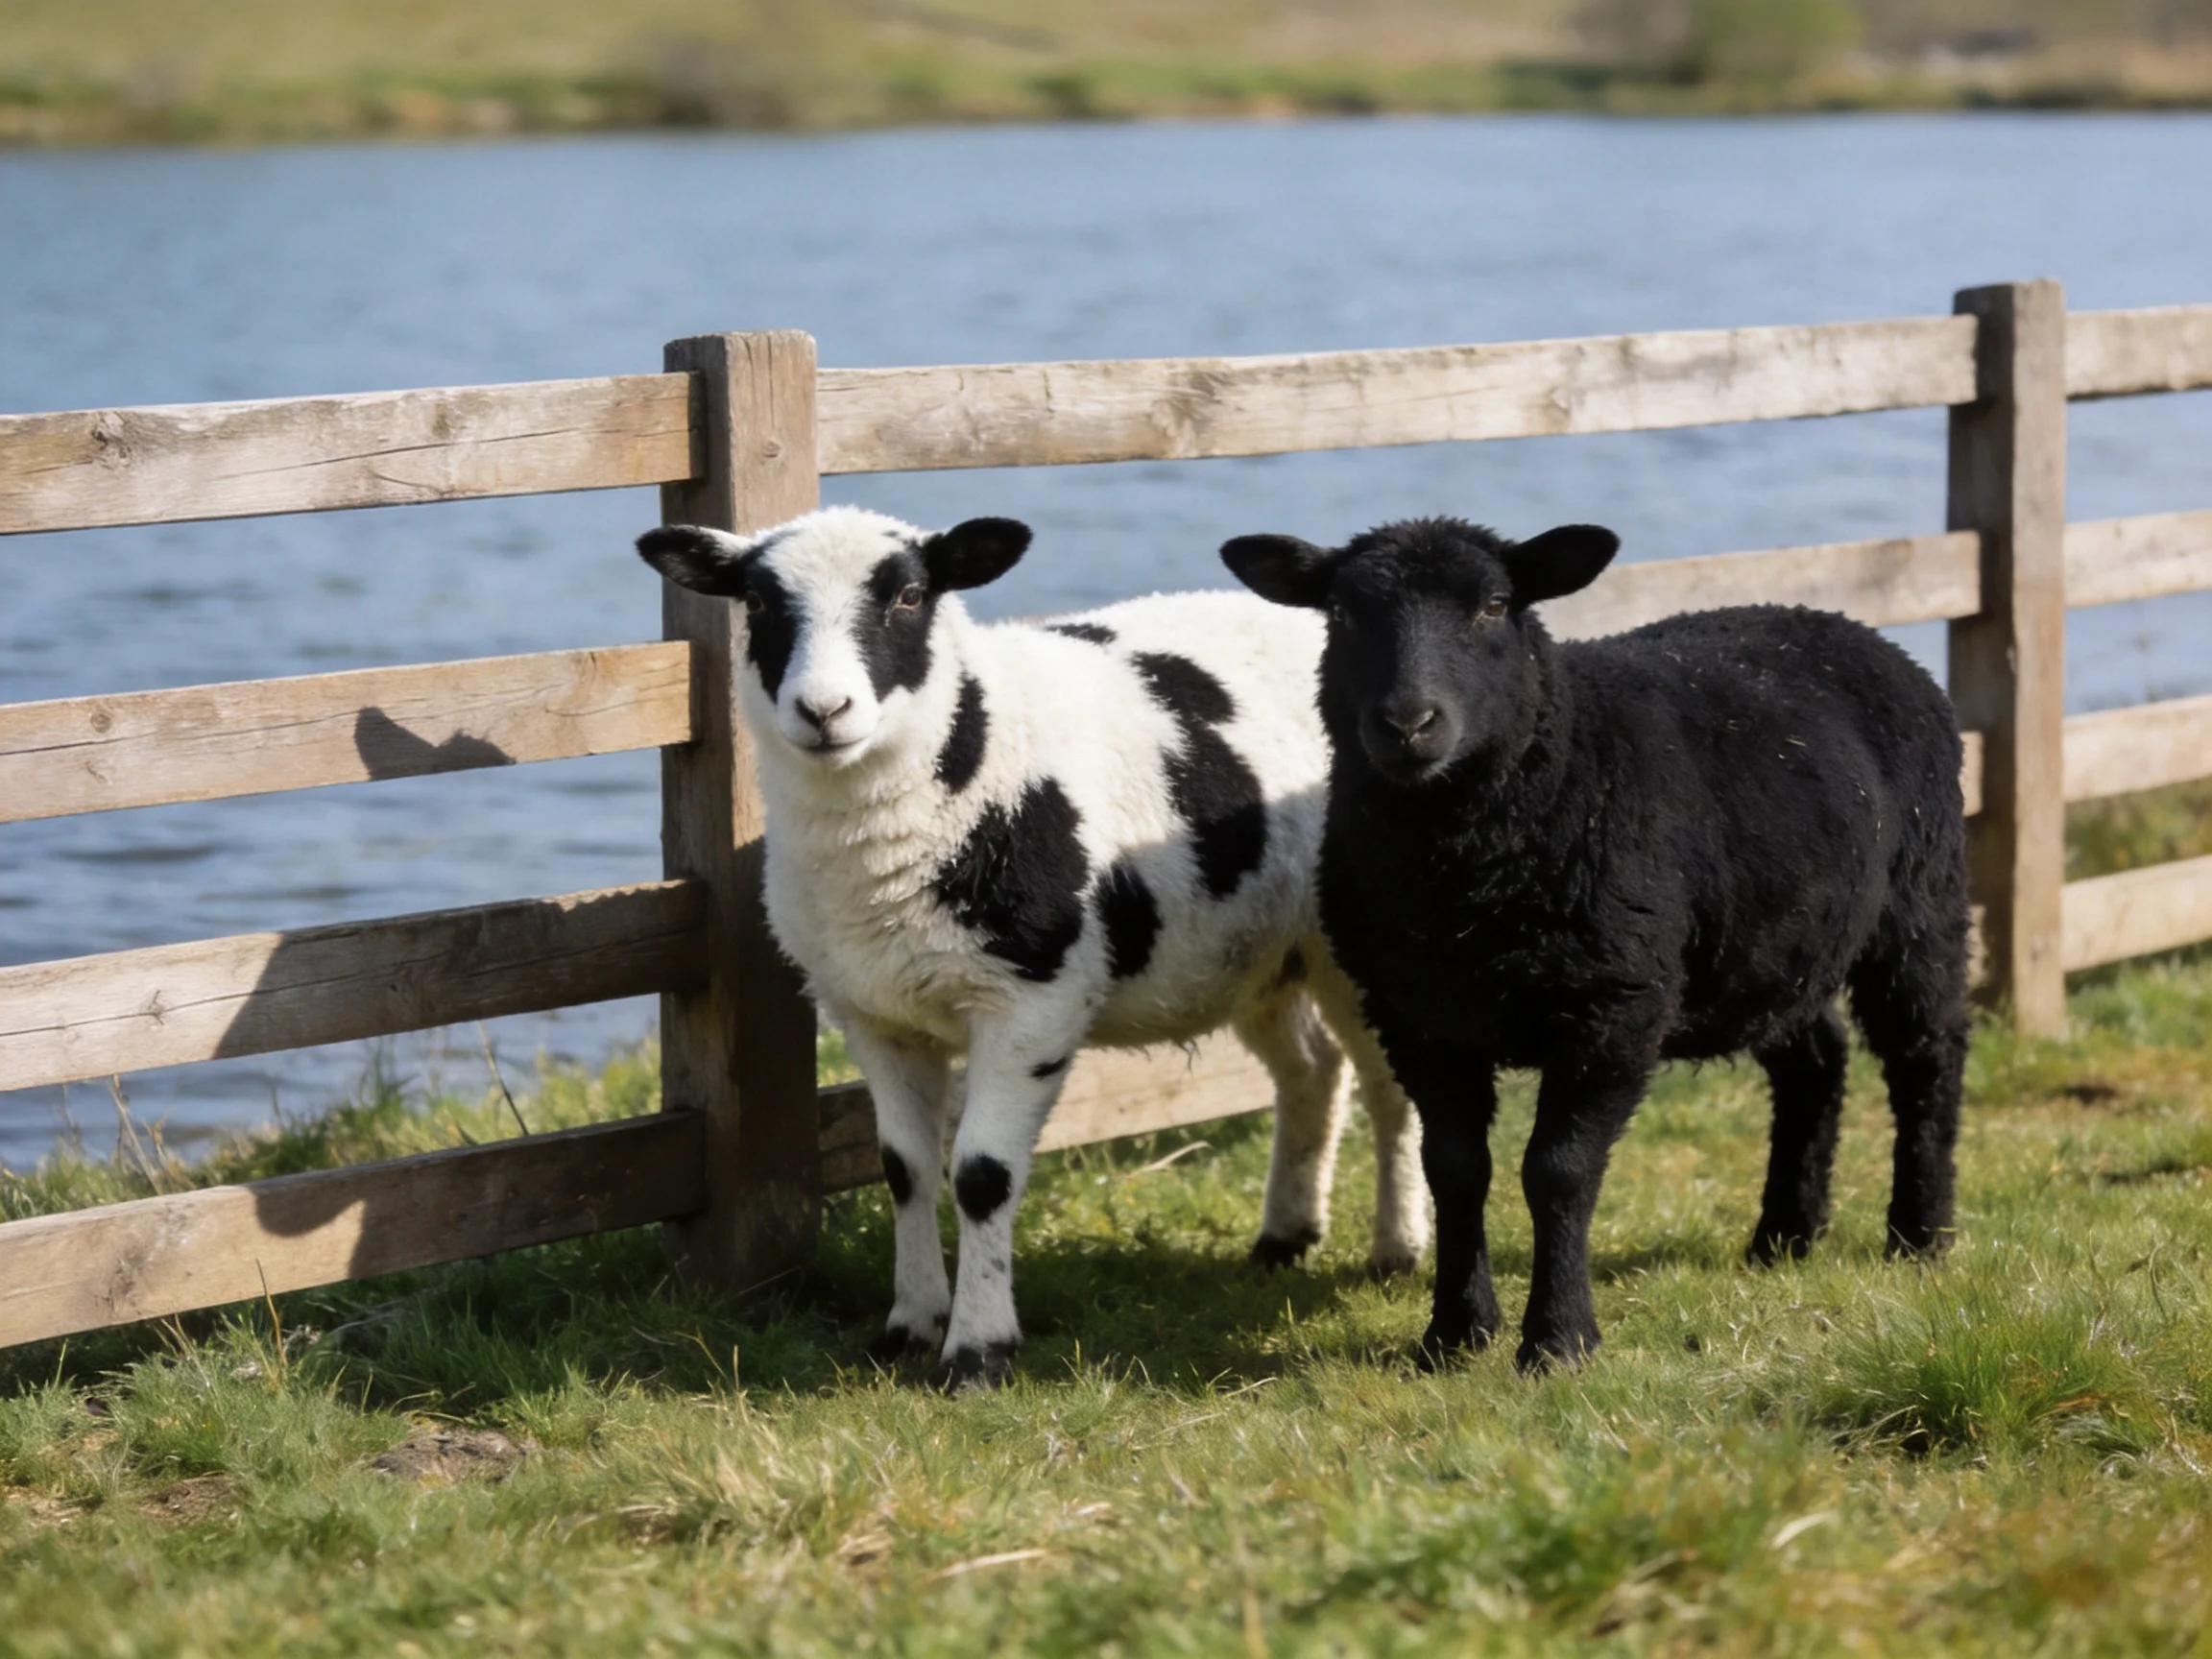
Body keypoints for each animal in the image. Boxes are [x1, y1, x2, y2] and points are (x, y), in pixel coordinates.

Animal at [636, 506, 1428, 1389]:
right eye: (759, 603)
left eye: (910, 595)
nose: (823, 710)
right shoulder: (873, 1013)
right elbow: (904, 1168)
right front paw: (909, 1326)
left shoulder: (1031, 1001)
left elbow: (982, 1174)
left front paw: (978, 1350)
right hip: (1262, 952)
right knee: (1314, 1070)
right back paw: (1286, 1237)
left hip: (1363, 938)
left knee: (1391, 1085)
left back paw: (1398, 1248)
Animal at [1221, 515, 1970, 1373]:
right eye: (1342, 614)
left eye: (1494, 605)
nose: (1408, 724)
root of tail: (1848, 627)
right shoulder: (1420, 1017)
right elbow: (1455, 1168)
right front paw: (1455, 1334)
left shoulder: (1613, 1005)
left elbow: (1559, 1170)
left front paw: (1558, 1340)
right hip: (1772, 943)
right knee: (1815, 1059)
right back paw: (1784, 1236)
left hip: (1920, 900)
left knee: (1926, 1059)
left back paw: (1919, 1237)